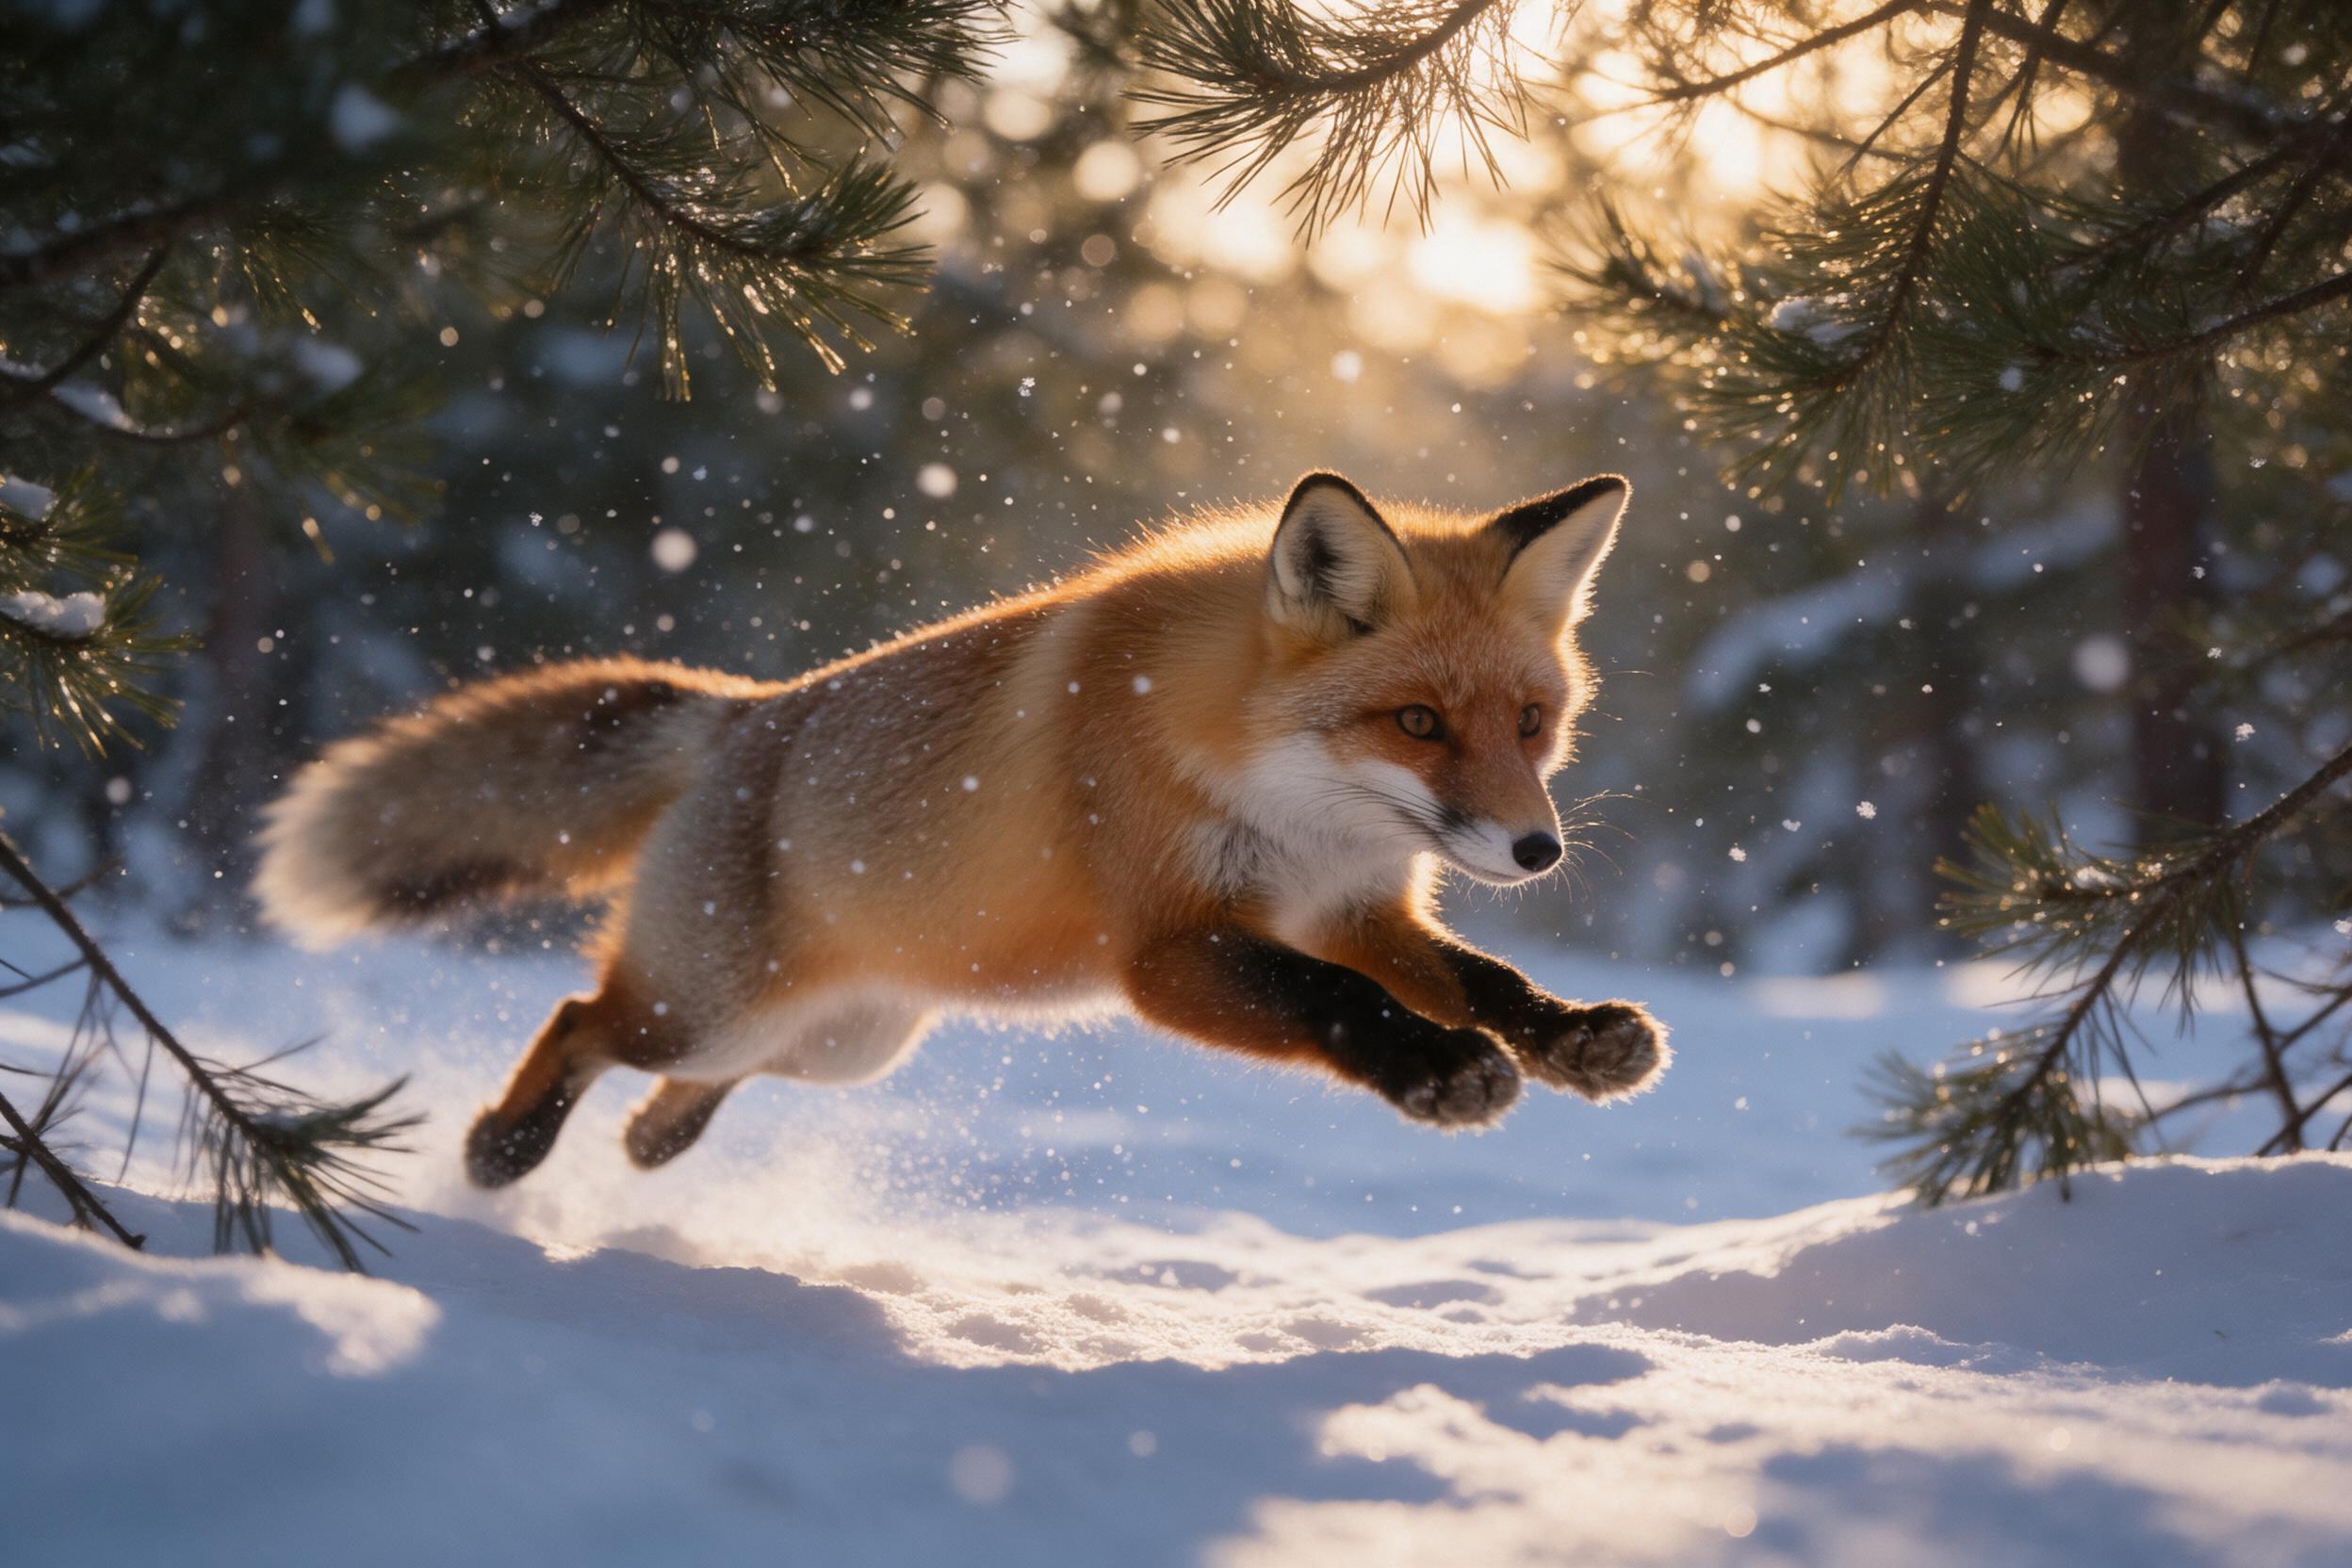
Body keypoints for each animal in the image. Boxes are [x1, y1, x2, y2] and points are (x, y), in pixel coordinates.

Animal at [253, 471, 1669, 1188]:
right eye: (1419, 723)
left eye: (1532, 722)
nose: (1537, 851)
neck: (1277, 793)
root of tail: (746, 711)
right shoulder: (1170, 950)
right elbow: (1340, 1003)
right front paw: (1438, 1072)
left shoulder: (1355, 905)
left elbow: (1480, 977)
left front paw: (1575, 1036)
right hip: (711, 1005)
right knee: (577, 1020)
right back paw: (505, 1149)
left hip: (842, 1043)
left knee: (675, 1085)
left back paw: (653, 1139)